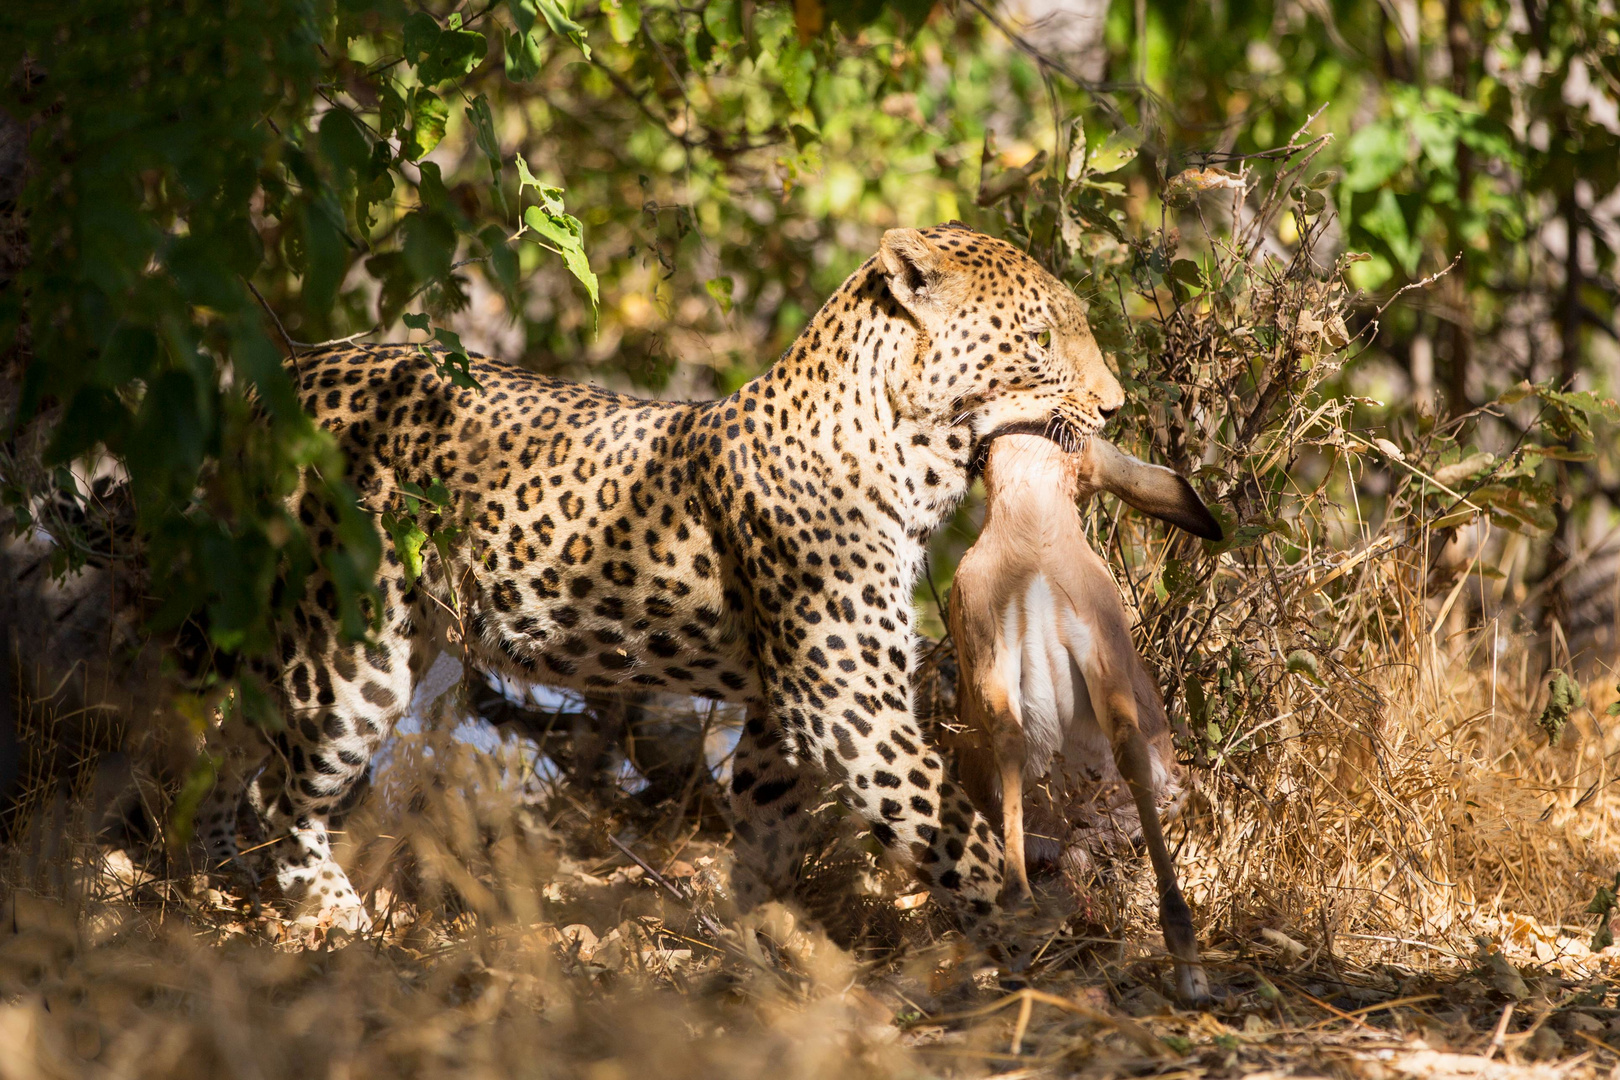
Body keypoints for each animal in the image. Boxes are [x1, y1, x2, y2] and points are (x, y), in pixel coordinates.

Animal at [202, 216, 1127, 952]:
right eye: (1042, 340)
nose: (1117, 406)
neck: (909, 453)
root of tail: (288, 374)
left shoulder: (783, 711)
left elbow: (767, 826)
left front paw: (761, 935)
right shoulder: (847, 704)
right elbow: (951, 826)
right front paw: (1036, 939)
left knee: (227, 751)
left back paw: (207, 884)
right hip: (352, 645)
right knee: (273, 793)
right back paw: (331, 918)